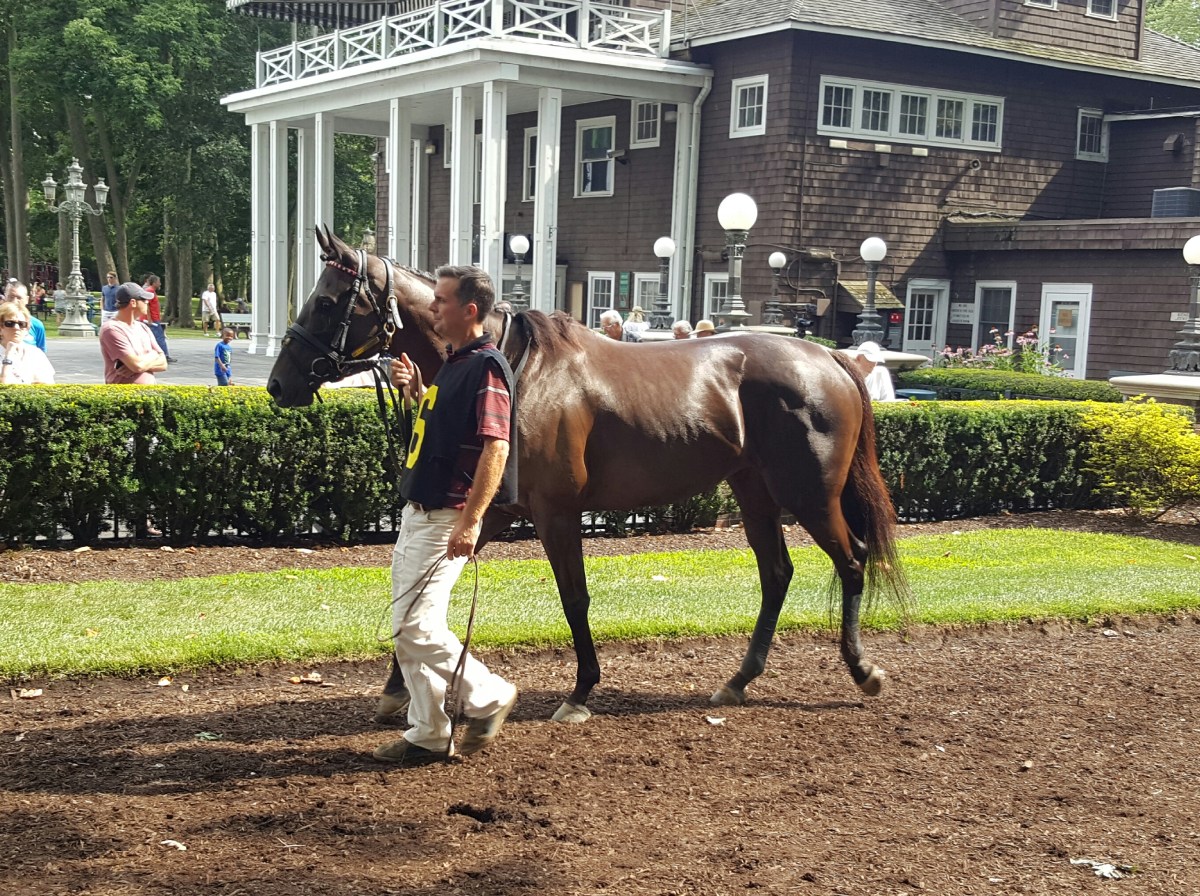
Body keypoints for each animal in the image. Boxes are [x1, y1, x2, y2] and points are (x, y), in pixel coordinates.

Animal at [268, 226, 906, 723]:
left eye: (326, 302)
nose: (278, 383)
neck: (515, 367)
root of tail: (831, 358)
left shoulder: (556, 511)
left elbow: (574, 597)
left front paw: (581, 690)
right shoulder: (495, 508)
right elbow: (427, 594)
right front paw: (395, 688)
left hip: (810, 494)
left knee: (852, 561)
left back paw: (862, 669)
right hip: (754, 490)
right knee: (777, 574)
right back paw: (739, 680)